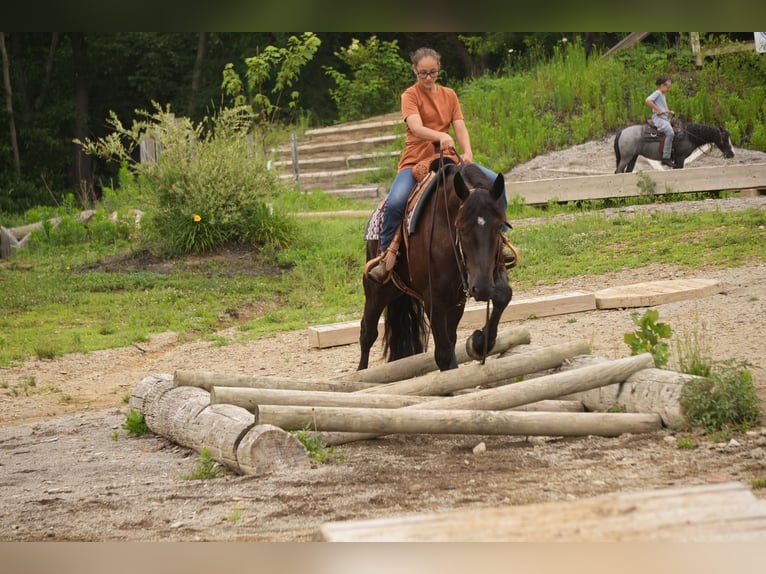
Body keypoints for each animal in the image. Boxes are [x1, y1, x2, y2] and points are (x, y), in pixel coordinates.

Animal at [358, 160, 512, 372]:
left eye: (498, 227)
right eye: (462, 227)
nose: (481, 288)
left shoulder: (482, 279)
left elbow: (504, 294)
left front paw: (479, 342)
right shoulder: (434, 299)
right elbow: (443, 354)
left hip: (451, 300)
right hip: (377, 291)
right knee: (367, 332)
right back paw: (360, 373)